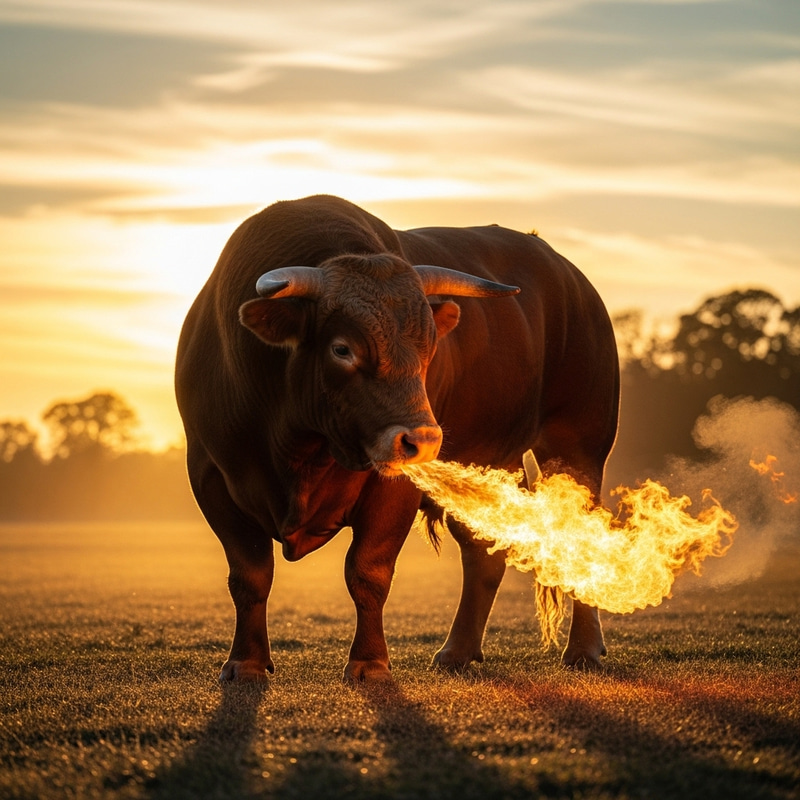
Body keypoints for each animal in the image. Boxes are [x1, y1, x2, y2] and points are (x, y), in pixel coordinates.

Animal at [175, 195, 619, 683]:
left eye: (429, 346)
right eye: (342, 348)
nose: (422, 441)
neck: (300, 449)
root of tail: (572, 278)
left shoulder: (395, 487)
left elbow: (368, 572)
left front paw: (369, 662)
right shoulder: (211, 477)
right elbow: (250, 576)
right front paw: (246, 662)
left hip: (578, 448)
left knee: (581, 536)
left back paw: (584, 649)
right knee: (482, 554)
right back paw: (458, 651)